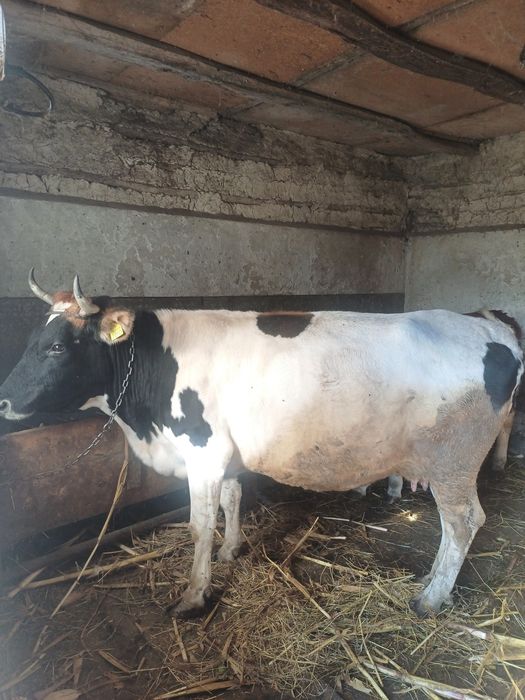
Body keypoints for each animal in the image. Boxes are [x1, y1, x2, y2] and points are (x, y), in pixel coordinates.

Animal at [0, 271, 522, 618]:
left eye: (57, 346)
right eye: (31, 339)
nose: (3, 400)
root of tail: (491, 330)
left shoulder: (203, 451)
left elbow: (199, 526)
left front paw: (194, 595)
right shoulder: (226, 454)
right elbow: (233, 500)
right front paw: (231, 551)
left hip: (453, 461)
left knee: (463, 523)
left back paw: (430, 598)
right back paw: (430, 583)